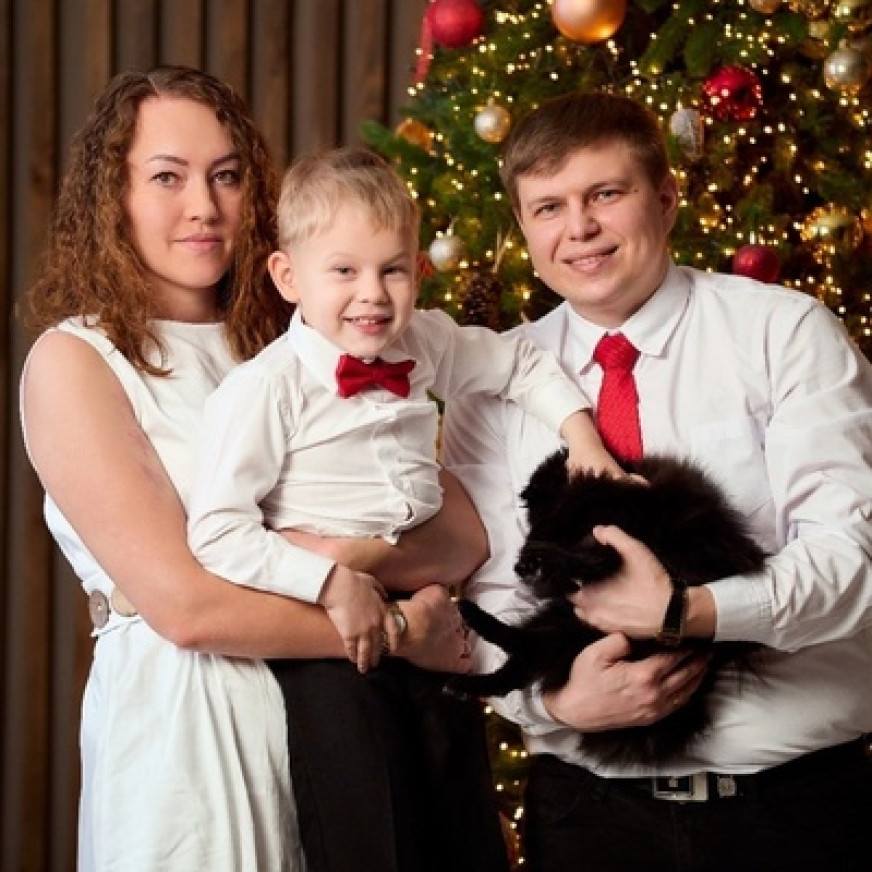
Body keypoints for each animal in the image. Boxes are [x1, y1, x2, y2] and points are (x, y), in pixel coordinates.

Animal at [446, 449, 768, 766]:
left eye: (545, 525)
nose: (522, 562)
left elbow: (600, 552)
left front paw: (554, 560)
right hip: (563, 625)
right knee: (520, 661)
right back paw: (464, 659)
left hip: (574, 631)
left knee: (526, 653)